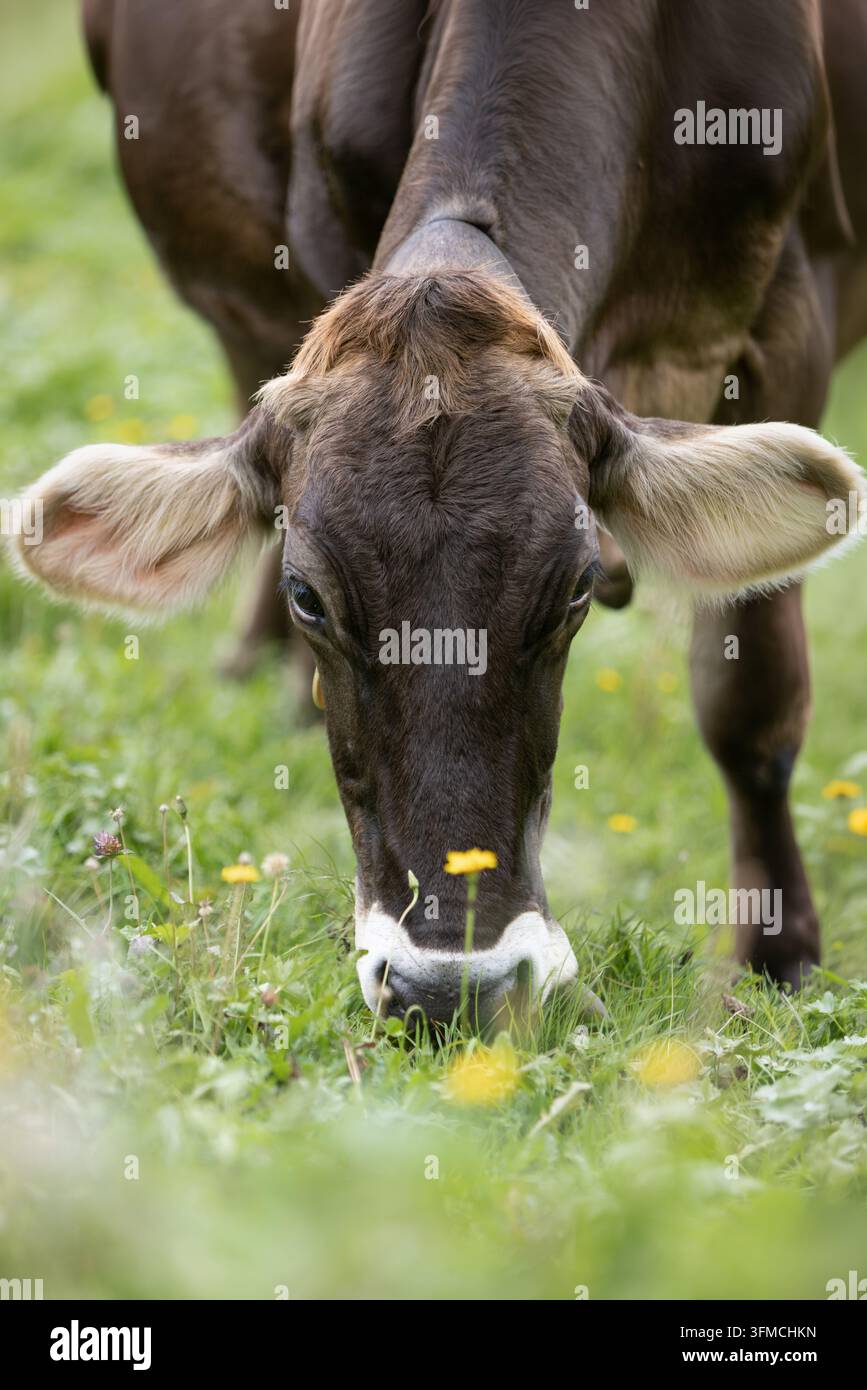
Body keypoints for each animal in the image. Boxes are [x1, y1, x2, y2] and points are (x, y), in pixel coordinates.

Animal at [13, 0, 867, 1026]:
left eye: (575, 589)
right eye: (307, 596)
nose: (448, 987)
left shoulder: (788, 321)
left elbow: (752, 706)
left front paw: (779, 960)